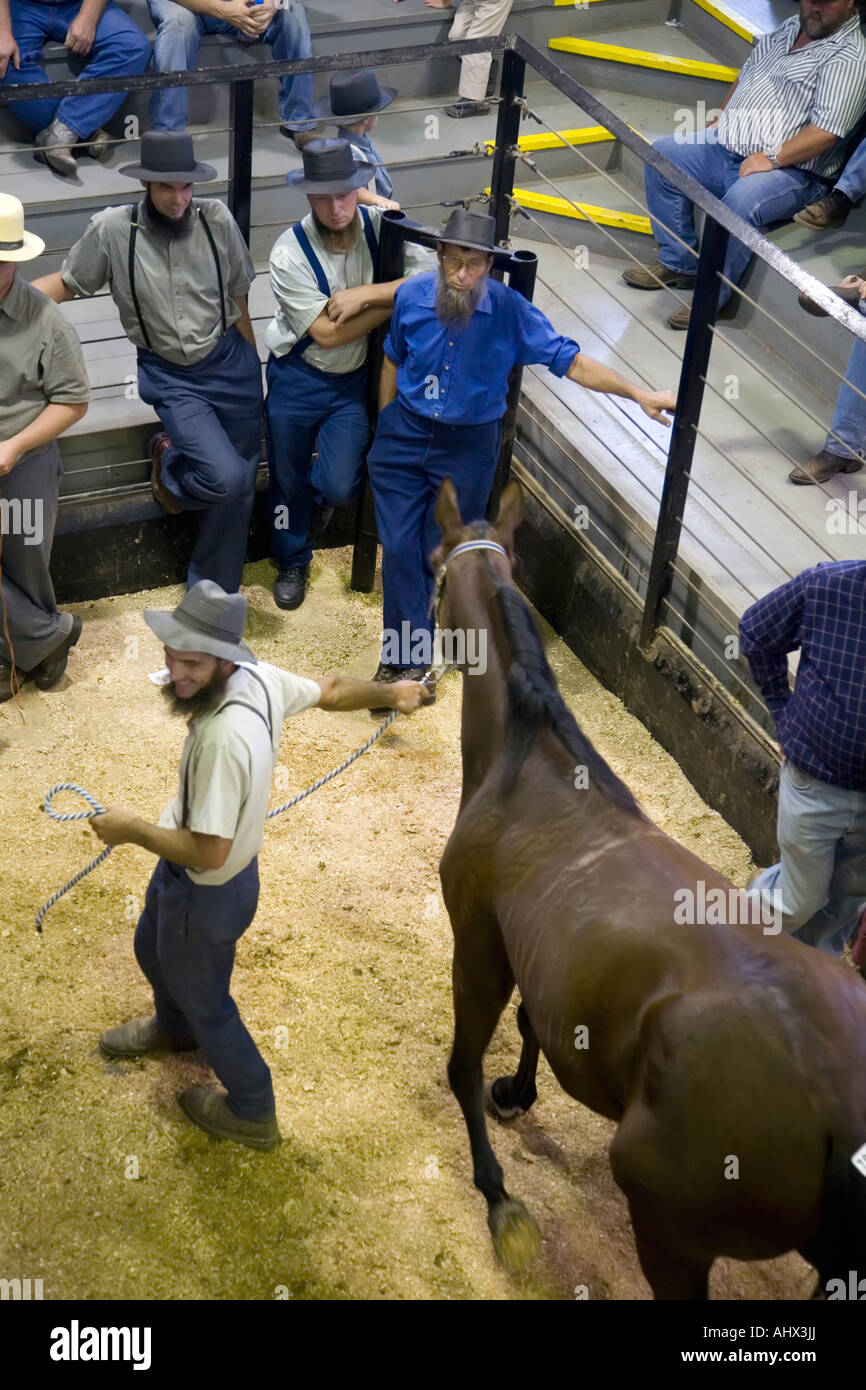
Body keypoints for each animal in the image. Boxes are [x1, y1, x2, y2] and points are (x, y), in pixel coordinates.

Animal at [436, 478, 866, 1301]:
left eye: (436, 571)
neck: (530, 768)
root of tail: (836, 1107)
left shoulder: (478, 945)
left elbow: (463, 1067)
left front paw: (500, 1201)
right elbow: (537, 1025)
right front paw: (517, 1095)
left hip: (668, 1231)